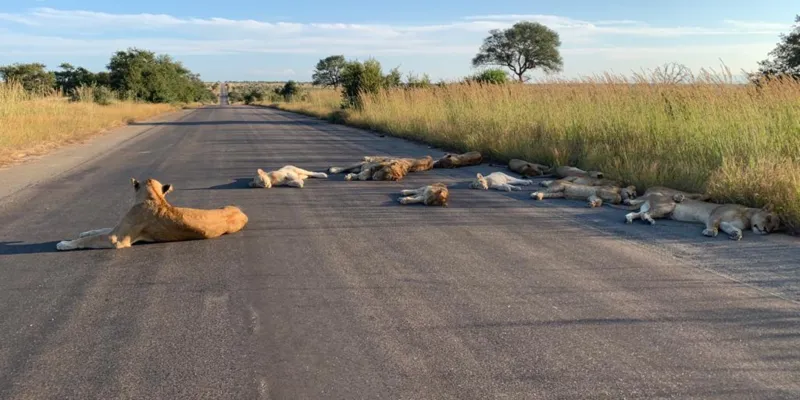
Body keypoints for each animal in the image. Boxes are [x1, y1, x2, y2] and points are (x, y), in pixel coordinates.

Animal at [56, 177, 248, 250]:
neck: (154, 197)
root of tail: (241, 212)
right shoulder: (117, 229)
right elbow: (98, 230)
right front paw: (84, 232)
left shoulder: (117, 239)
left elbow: (90, 239)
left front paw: (64, 244)